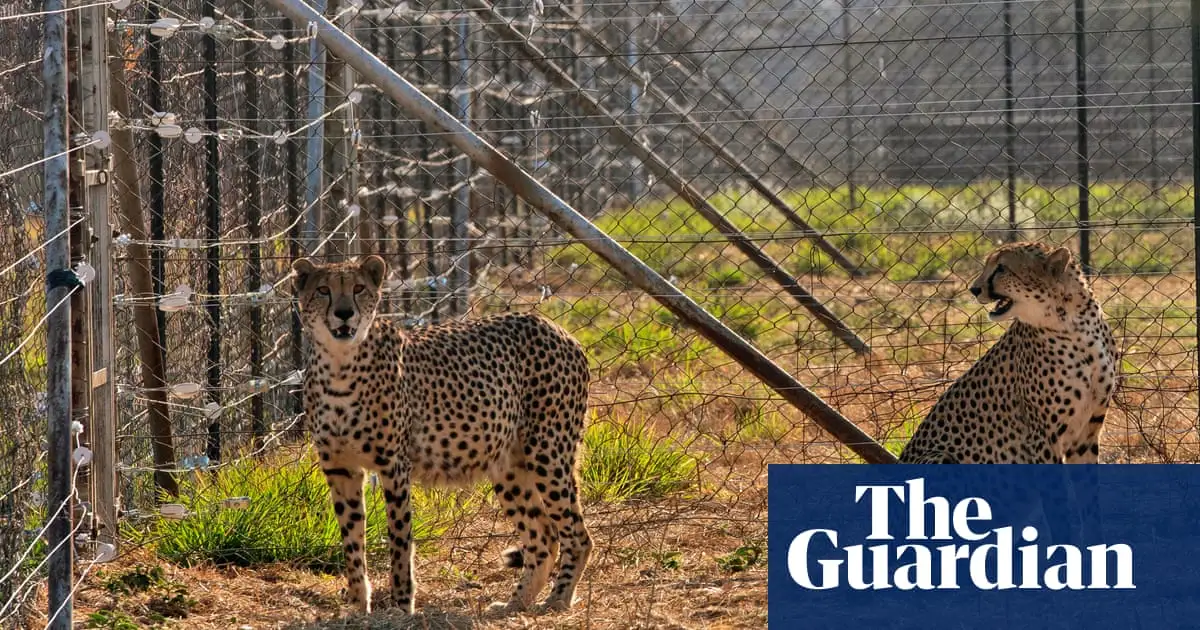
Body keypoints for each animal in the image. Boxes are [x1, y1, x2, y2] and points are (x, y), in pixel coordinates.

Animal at [290, 254, 590, 614]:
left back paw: (558, 599)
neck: (339, 364)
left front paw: (401, 604)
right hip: (509, 466)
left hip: (548, 453)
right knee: (543, 536)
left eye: (359, 288)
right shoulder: (340, 468)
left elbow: (399, 539)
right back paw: (514, 603)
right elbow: (351, 540)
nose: (345, 312)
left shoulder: (394, 465)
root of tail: (555, 327)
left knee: (577, 534)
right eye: (323, 290)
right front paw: (358, 605)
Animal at [902, 243, 1123, 463]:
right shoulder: (1043, 435)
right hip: (941, 455)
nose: (974, 289)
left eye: (1001, 268)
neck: (1075, 324)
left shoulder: (1088, 429)